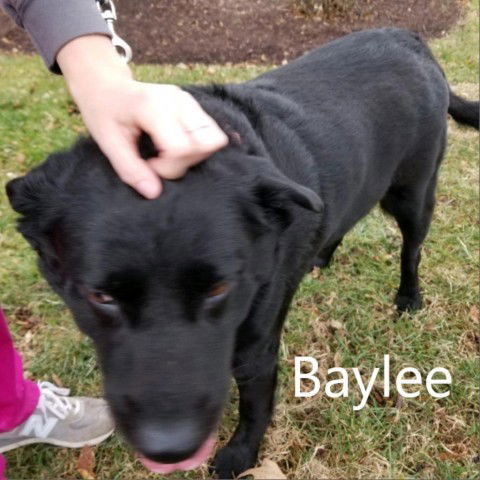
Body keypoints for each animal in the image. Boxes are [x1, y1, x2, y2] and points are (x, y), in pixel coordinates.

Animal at [5, 29, 478, 476]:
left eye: (219, 289)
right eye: (100, 297)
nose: (170, 448)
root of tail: (411, 40)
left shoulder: (254, 346)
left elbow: (255, 406)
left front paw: (241, 454)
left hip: (413, 195)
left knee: (412, 249)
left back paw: (408, 297)